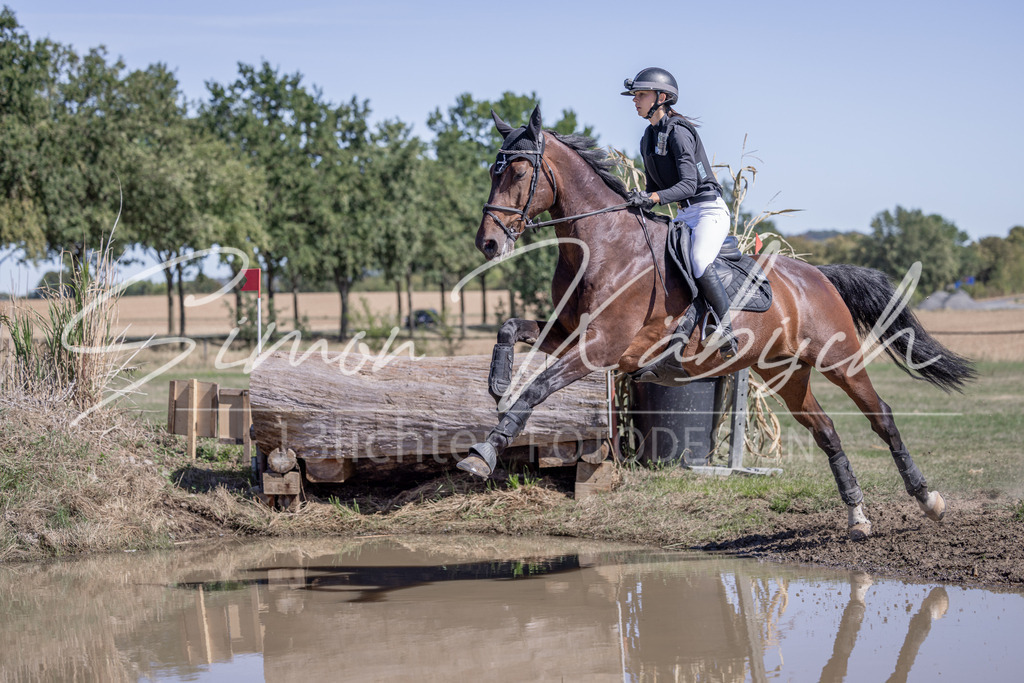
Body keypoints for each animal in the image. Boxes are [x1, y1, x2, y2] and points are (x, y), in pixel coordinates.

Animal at [457, 106, 975, 539]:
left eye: (518, 171)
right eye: (491, 171)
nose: (487, 243)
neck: (601, 244)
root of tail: (817, 275)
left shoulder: (600, 347)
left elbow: (536, 390)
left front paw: (483, 454)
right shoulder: (571, 335)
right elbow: (509, 329)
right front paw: (497, 383)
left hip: (840, 360)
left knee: (880, 416)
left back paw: (927, 499)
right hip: (783, 373)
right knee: (826, 430)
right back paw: (857, 516)